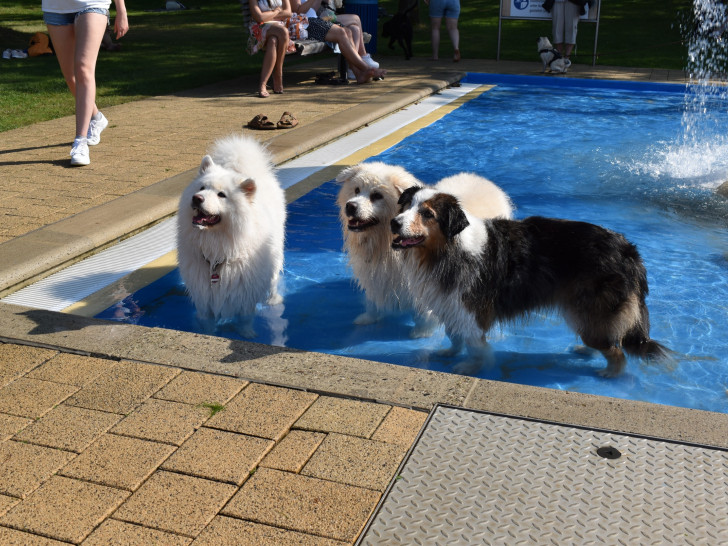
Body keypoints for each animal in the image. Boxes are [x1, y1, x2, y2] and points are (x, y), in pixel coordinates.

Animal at [178, 133, 286, 334]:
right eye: (201, 188)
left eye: (221, 195)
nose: (196, 198)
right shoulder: (204, 296)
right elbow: (207, 322)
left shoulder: (244, 292)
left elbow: (244, 319)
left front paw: (247, 334)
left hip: (275, 251)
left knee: (273, 279)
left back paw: (273, 300)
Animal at [392, 185, 672, 376]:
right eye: (405, 207)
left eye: (427, 214)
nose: (394, 223)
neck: (448, 248)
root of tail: (628, 250)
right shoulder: (451, 304)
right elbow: (454, 334)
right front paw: (450, 352)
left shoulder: (471, 311)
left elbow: (474, 344)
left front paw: (471, 366)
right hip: (582, 312)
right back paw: (587, 352)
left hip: (591, 308)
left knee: (617, 350)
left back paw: (611, 373)